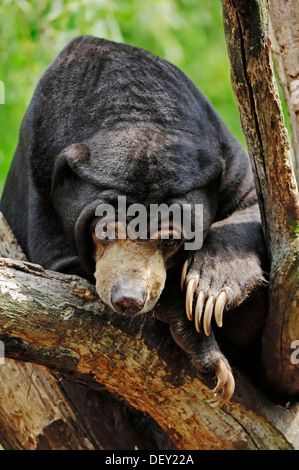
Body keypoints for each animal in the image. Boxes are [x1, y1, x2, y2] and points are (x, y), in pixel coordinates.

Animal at [0, 35, 268, 406]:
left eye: (170, 239)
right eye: (102, 230)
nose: (128, 299)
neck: (136, 112)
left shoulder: (223, 157)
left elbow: (250, 203)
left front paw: (209, 293)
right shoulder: (39, 178)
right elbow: (63, 265)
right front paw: (208, 353)